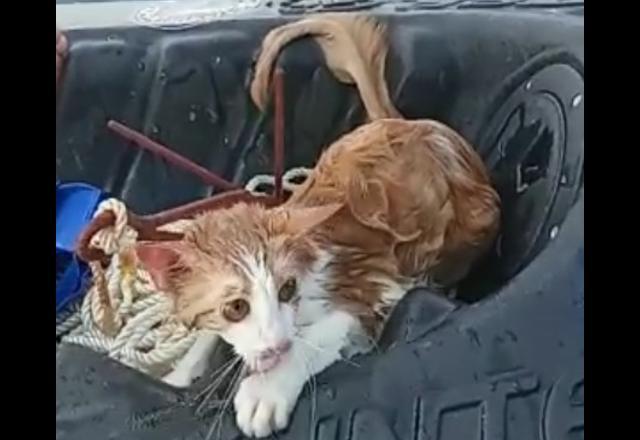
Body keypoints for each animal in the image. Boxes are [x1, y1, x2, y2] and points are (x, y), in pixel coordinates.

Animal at [139, 12, 500, 436]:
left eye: (287, 288)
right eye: (236, 308)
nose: (275, 347)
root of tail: (408, 123)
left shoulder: (378, 288)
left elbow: (324, 332)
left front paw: (267, 389)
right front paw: (183, 371)